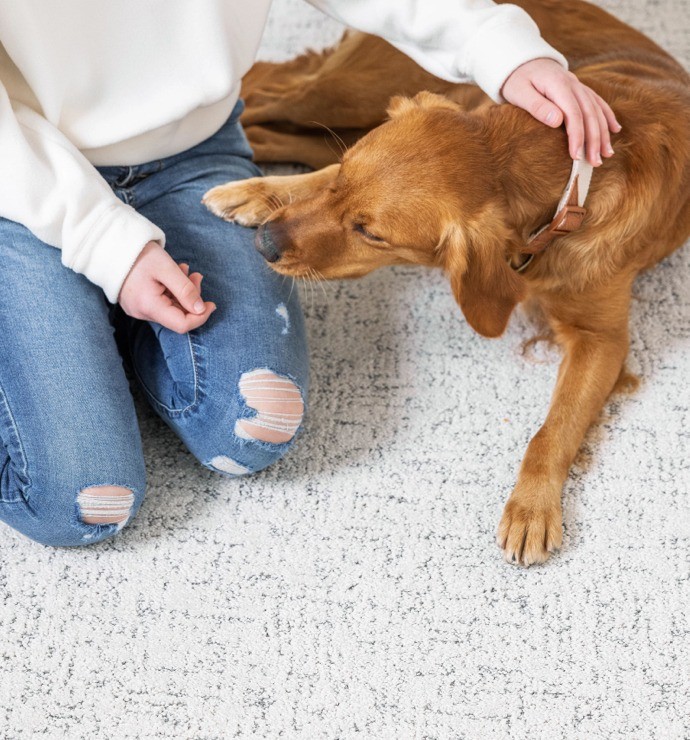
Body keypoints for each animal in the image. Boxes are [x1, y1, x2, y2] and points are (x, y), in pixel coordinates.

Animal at [203, 0, 688, 568]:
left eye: (371, 233)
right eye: (344, 179)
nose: (266, 245)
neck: (569, 184)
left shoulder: (602, 339)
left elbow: (553, 430)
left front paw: (532, 506)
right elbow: (315, 176)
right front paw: (257, 193)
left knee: (277, 130)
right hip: (348, 92)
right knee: (260, 96)